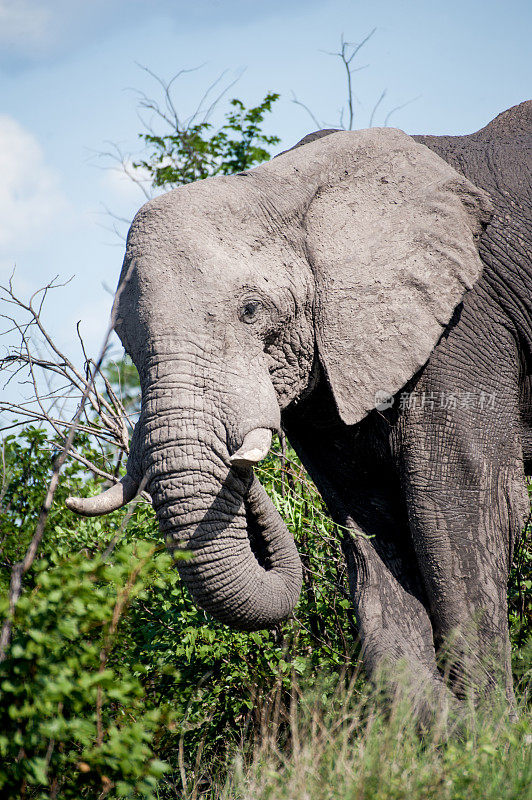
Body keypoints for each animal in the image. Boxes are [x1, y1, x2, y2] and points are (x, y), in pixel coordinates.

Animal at [67, 101, 532, 720]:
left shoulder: (465, 322)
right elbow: (372, 521)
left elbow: (460, 506)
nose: (238, 460)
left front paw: (489, 734)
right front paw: (435, 728)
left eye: (250, 311)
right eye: (123, 337)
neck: (287, 185)